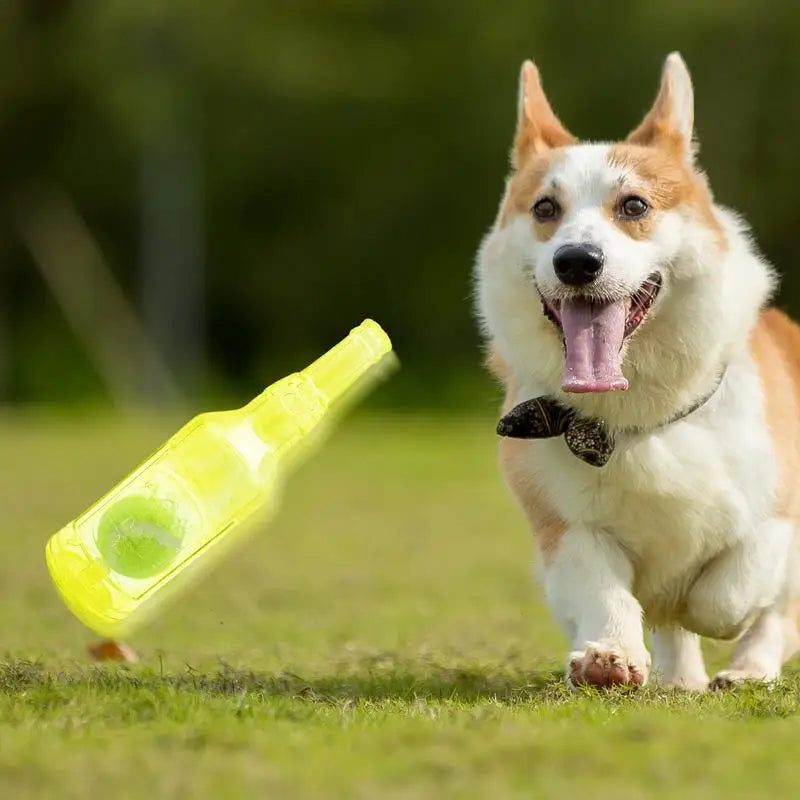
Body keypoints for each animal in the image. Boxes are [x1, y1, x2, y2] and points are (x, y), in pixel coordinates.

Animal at [472, 51, 800, 688]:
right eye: (545, 209)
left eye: (634, 206)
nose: (576, 262)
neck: (644, 414)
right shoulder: (566, 528)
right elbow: (606, 591)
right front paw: (609, 655)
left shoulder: (780, 517)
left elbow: (731, 586)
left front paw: (703, 609)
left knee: (773, 617)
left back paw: (747, 671)